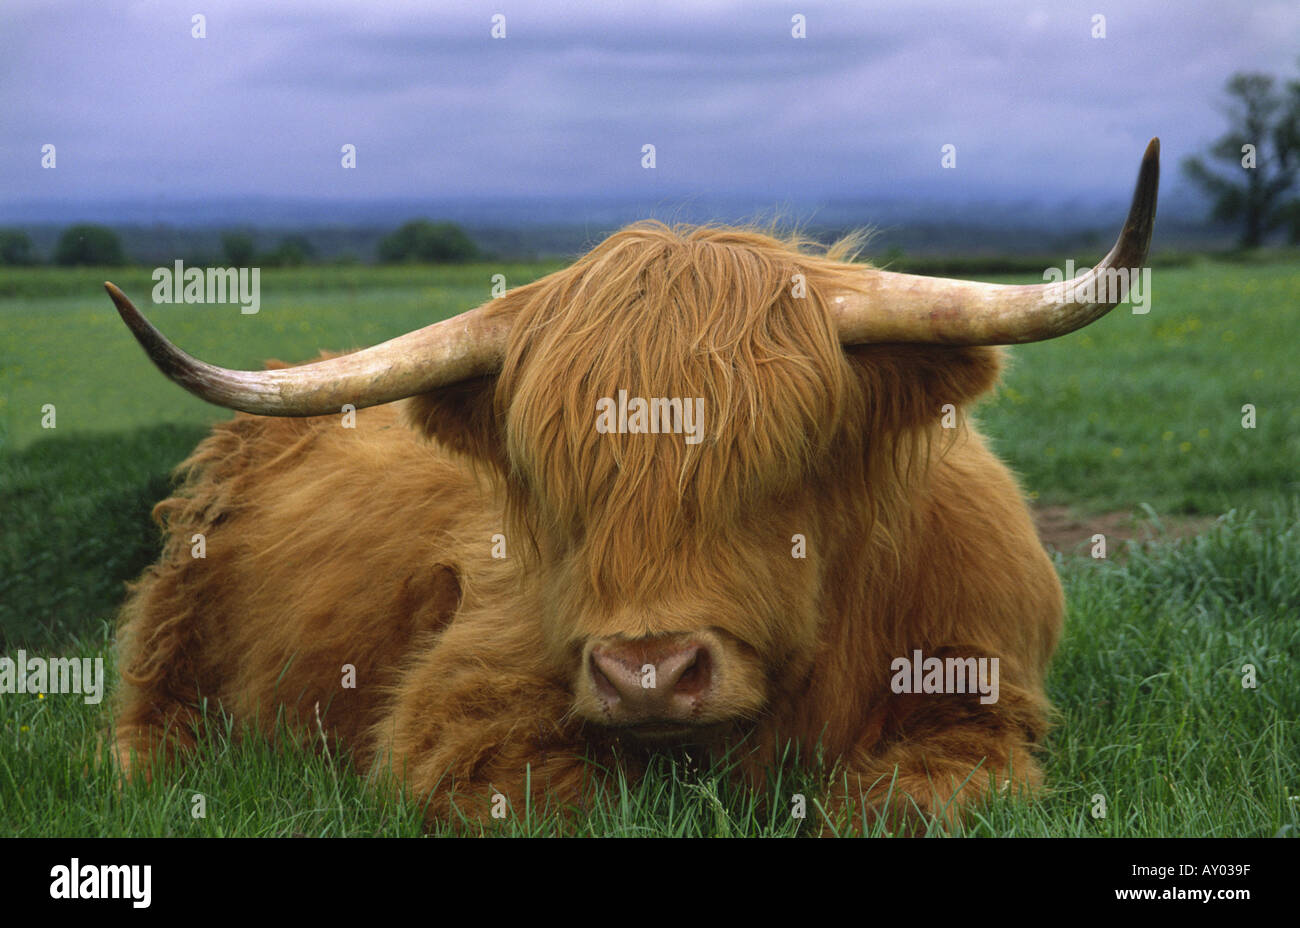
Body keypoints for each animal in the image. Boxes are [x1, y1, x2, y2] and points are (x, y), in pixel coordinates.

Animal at [105, 140, 1159, 832]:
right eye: (550, 476)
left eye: (790, 453)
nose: (647, 672)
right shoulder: (460, 717)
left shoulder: (979, 700)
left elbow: (917, 800)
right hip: (173, 648)